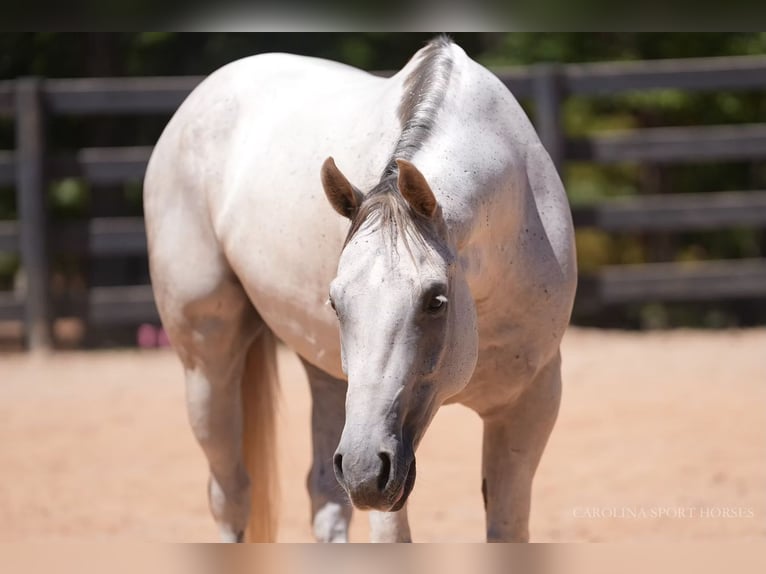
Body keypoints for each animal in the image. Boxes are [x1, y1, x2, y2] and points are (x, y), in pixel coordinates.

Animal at [143, 36, 577, 543]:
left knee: (323, 499)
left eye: (435, 300)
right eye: (336, 302)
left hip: (330, 382)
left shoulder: (529, 408)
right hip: (209, 370)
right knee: (231, 495)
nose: (364, 470)